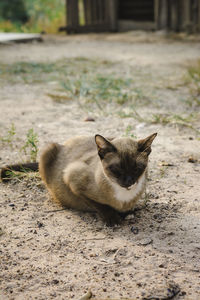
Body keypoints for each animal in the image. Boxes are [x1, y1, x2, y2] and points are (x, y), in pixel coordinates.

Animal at [0, 133, 156, 225]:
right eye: (116, 169)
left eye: (137, 168)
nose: (129, 182)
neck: (124, 196)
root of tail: (63, 143)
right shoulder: (72, 178)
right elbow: (100, 205)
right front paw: (113, 218)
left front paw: (128, 213)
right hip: (48, 149)